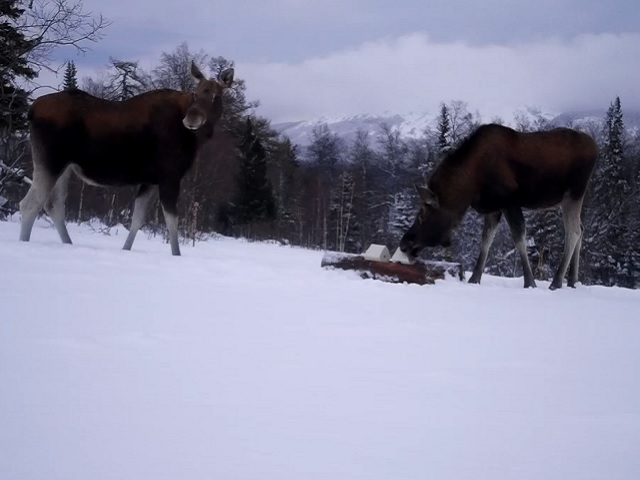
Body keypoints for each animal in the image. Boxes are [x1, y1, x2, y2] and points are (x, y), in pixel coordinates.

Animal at [19, 61, 235, 255]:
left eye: (215, 96)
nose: (191, 119)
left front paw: (125, 250)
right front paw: (176, 255)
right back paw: (24, 243)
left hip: (64, 167)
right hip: (50, 161)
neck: (196, 139)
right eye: (195, 94)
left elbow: (137, 219)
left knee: (53, 205)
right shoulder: (170, 175)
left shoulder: (150, 180)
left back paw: (67, 243)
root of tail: (32, 110)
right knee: (30, 204)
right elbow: (172, 222)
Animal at [402, 123, 596, 288]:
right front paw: (474, 279)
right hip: (575, 195)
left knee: (573, 231)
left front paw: (529, 282)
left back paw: (556, 282)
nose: (404, 243)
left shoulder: (509, 200)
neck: (470, 186)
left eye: (422, 215)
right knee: (581, 228)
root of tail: (596, 148)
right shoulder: (494, 207)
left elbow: (518, 236)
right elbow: (486, 240)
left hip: (574, 191)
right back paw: (572, 281)